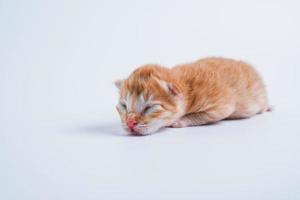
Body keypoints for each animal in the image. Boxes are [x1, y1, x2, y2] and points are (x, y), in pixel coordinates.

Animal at [113, 57, 270, 136]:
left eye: (150, 107)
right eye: (124, 106)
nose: (130, 123)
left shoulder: (220, 105)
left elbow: (203, 115)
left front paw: (180, 121)